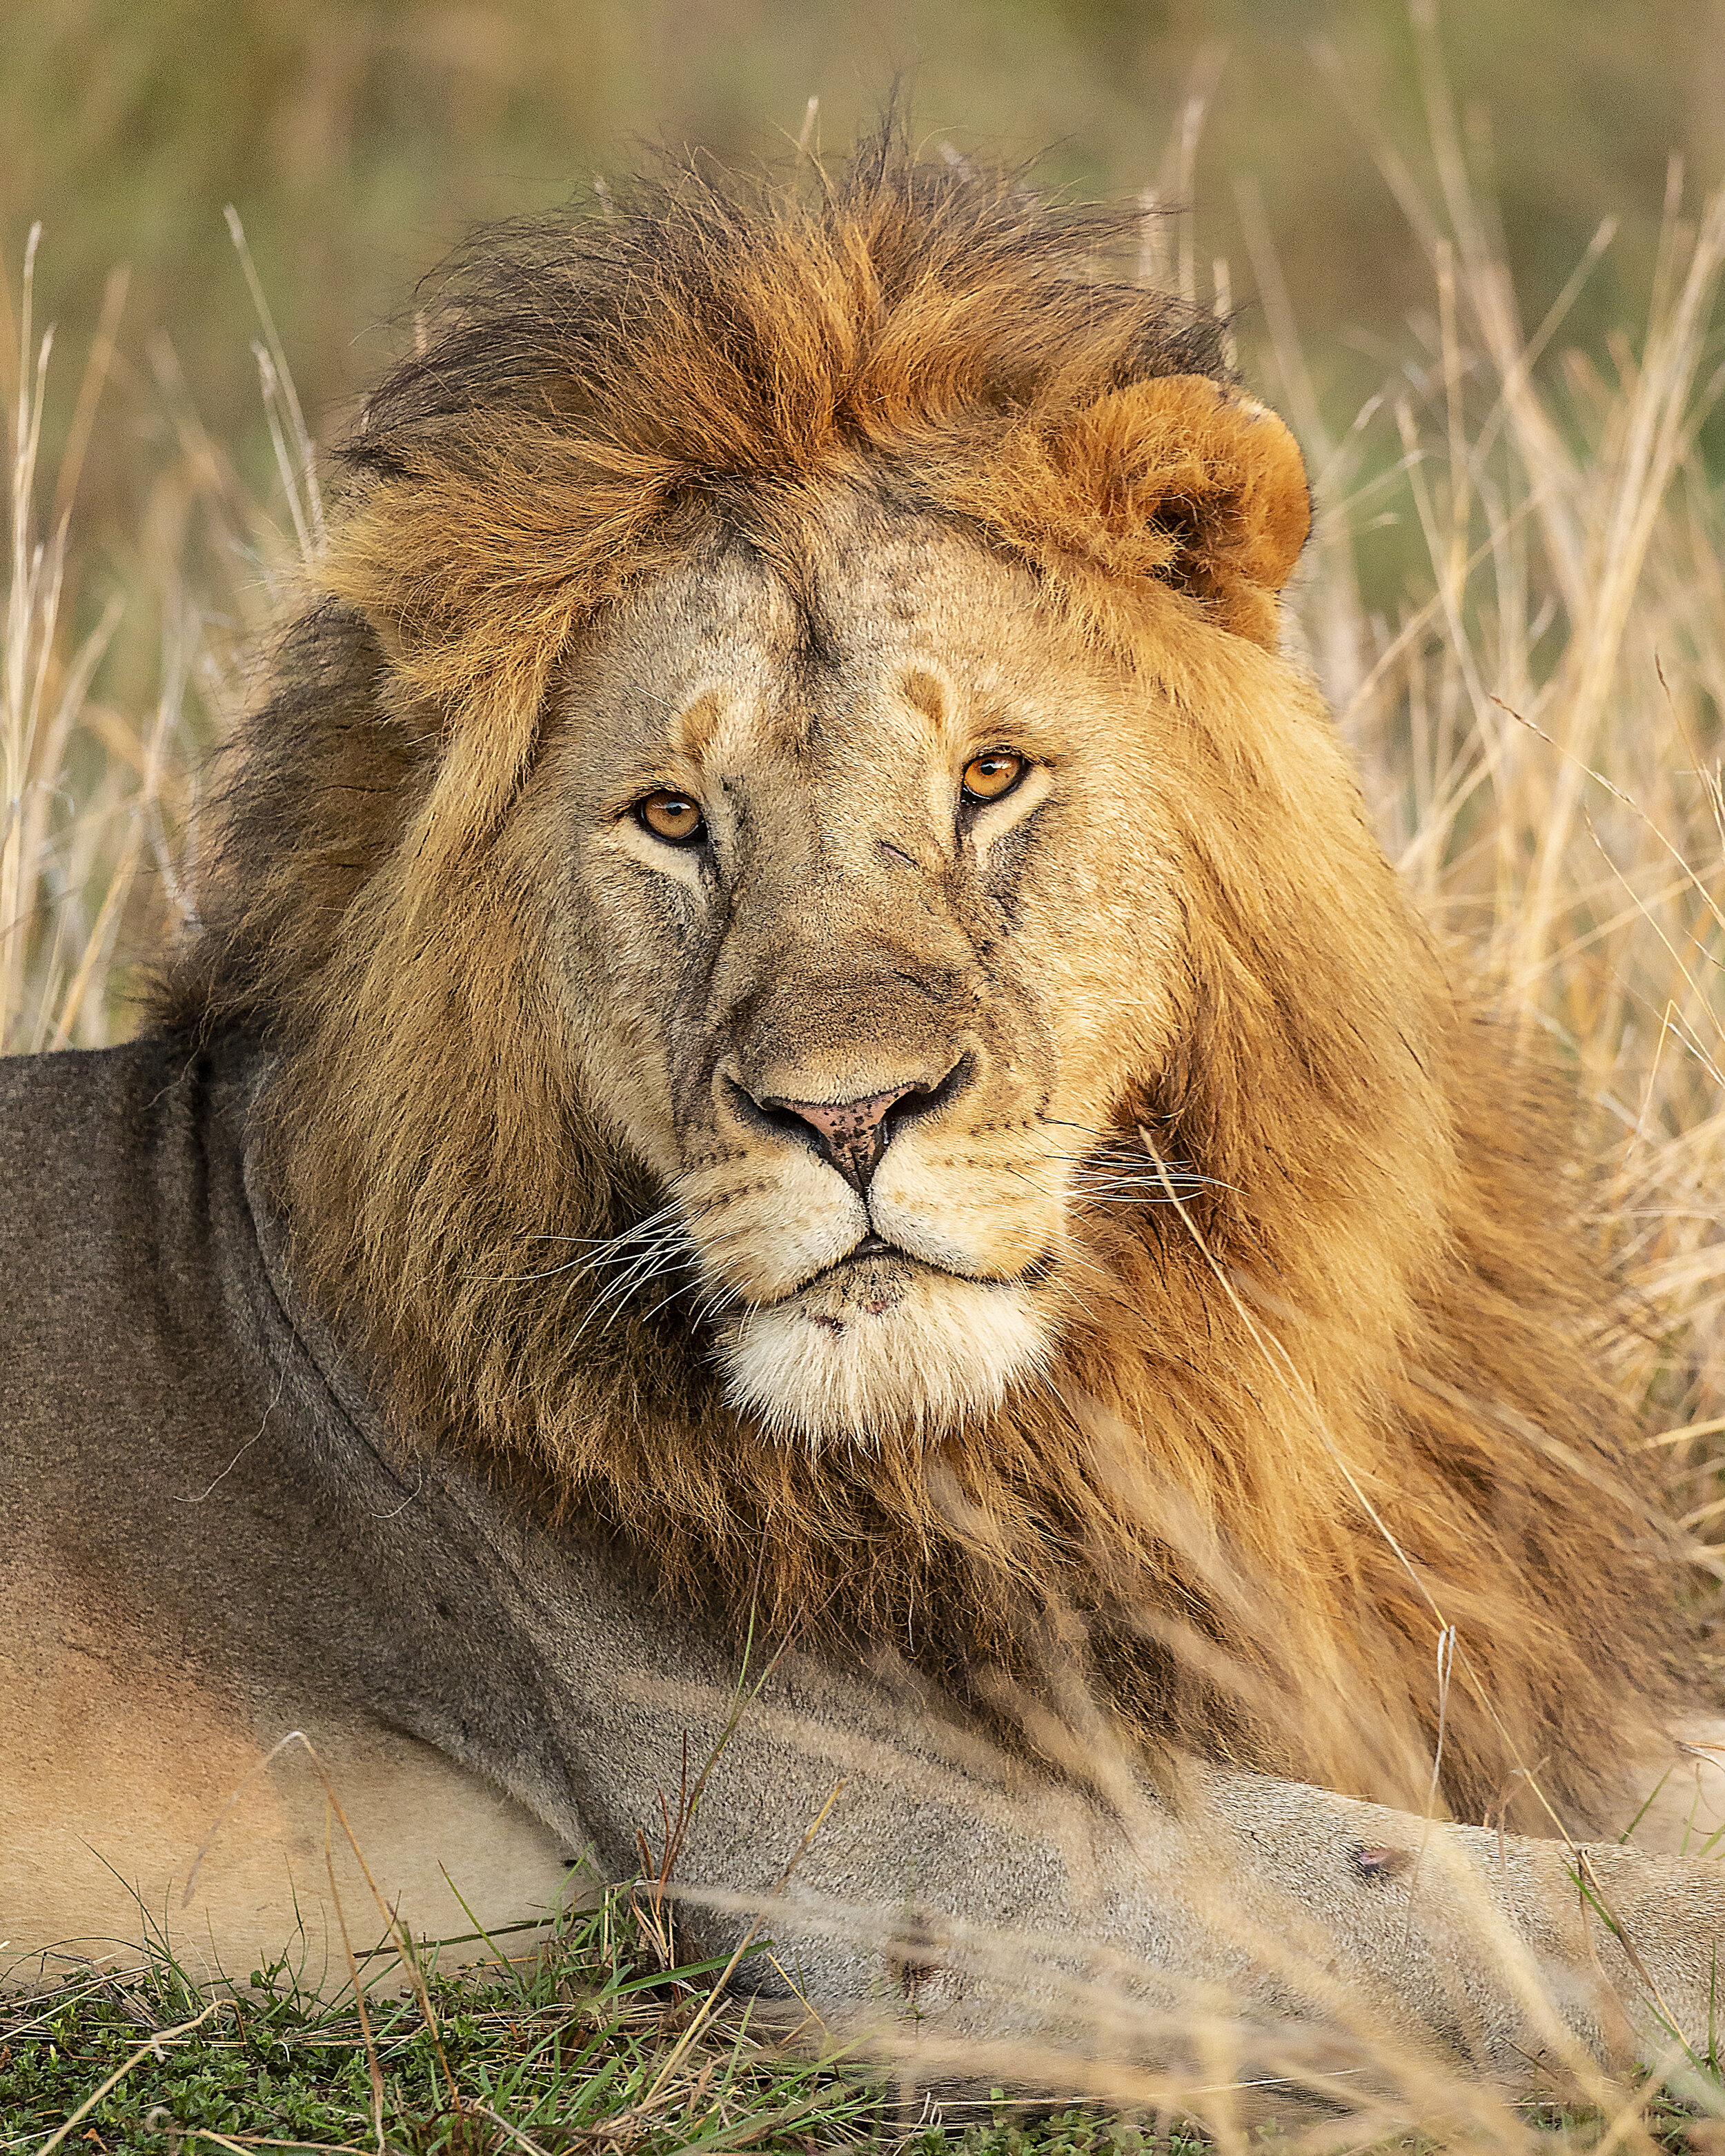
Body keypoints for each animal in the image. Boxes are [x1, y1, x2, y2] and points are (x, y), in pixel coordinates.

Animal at [3, 135, 1725, 2104]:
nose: (845, 1112)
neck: (1094, 1411)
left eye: (989, 773)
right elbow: (1494, 1896)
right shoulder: (900, 1854)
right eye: (673, 816)